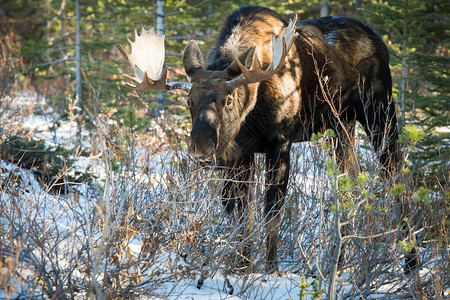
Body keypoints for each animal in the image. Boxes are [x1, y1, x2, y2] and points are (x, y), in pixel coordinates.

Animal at [117, 5, 400, 272]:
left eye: (228, 100)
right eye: (189, 102)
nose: (201, 150)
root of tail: (378, 40)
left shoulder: (280, 143)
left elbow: (271, 213)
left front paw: (270, 270)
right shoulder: (241, 153)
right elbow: (240, 214)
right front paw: (241, 267)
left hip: (380, 112)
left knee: (396, 174)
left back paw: (404, 260)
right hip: (341, 126)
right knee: (350, 181)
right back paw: (340, 261)